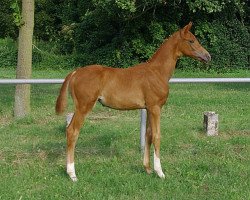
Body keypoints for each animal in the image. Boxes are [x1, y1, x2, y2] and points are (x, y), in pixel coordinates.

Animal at [55, 21, 211, 181]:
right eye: (191, 41)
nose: (208, 56)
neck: (157, 72)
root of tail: (75, 73)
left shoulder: (148, 108)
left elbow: (148, 135)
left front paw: (147, 169)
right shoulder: (155, 107)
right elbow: (157, 136)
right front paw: (160, 172)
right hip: (83, 107)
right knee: (72, 131)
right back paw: (72, 174)